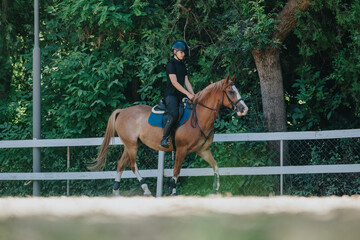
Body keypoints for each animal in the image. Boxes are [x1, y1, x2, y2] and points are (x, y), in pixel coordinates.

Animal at [88, 75, 249, 195]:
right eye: (231, 92)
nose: (244, 109)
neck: (199, 117)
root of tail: (122, 111)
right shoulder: (182, 150)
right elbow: (176, 172)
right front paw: (174, 192)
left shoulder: (203, 150)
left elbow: (215, 166)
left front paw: (215, 189)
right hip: (131, 145)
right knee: (132, 165)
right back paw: (146, 189)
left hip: (130, 145)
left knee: (121, 164)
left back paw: (116, 192)